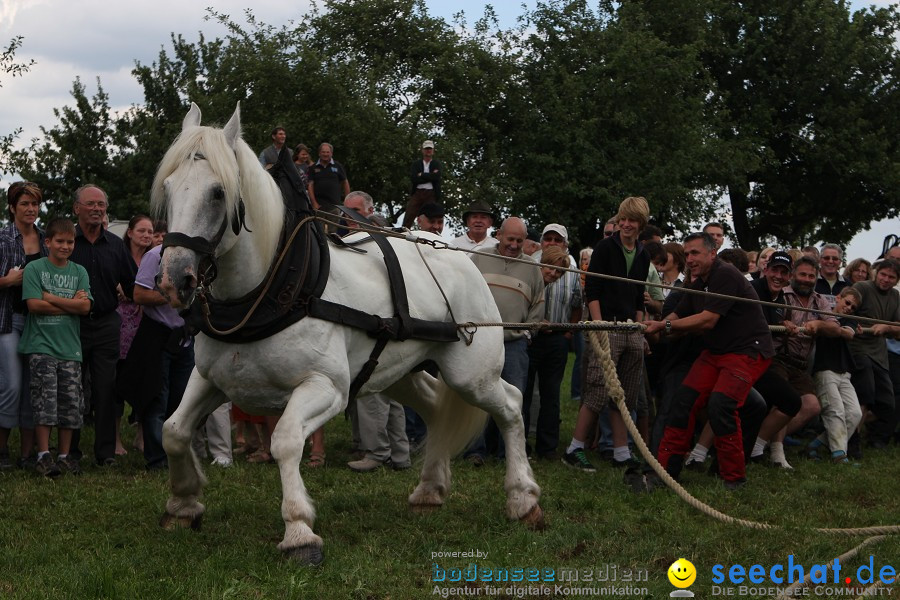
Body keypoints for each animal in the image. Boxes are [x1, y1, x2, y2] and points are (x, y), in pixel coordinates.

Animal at [151, 102, 540, 564]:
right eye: (168, 188)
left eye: (217, 193)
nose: (174, 279)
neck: (274, 290)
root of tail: (464, 258)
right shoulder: (211, 378)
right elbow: (173, 431)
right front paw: (182, 504)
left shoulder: (328, 387)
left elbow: (285, 440)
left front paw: (299, 530)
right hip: (397, 371)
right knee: (435, 409)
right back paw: (430, 490)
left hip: (471, 375)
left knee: (511, 405)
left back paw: (522, 499)